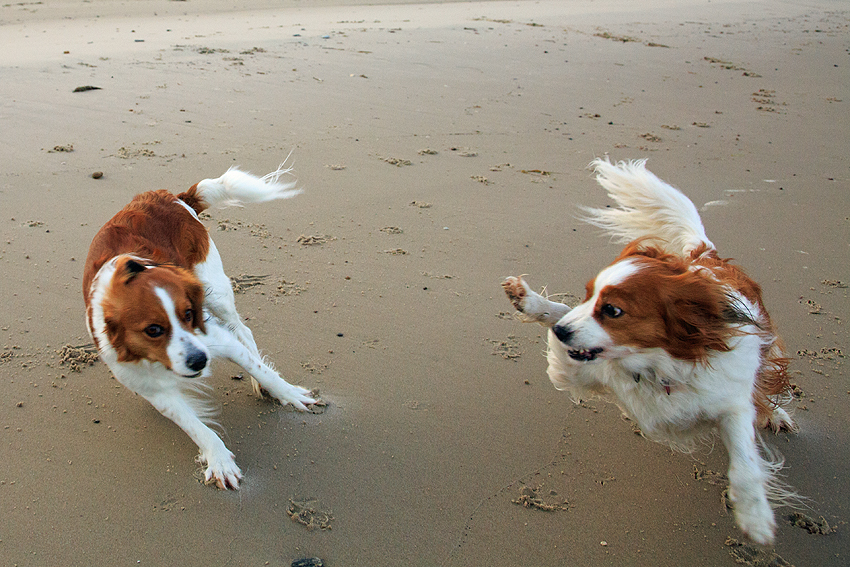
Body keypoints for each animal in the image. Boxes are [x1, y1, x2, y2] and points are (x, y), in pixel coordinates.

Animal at [84, 163, 316, 488]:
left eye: (188, 314)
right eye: (153, 330)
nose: (199, 361)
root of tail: (170, 196)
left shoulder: (216, 337)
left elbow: (262, 369)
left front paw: (289, 393)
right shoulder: (150, 387)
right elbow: (195, 427)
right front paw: (219, 460)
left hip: (215, 291)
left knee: (244, 332)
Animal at [500, 159, 792, 544]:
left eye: (612, 310)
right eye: (588, 295)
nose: (564, 333)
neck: (660, 366)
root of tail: (706, 258)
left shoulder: (732, 403)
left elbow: (744, 464)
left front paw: (755, 517)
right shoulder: (573, 368)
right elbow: (561, 313)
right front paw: (532, 302)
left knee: (768, 384)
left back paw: (777, 415)